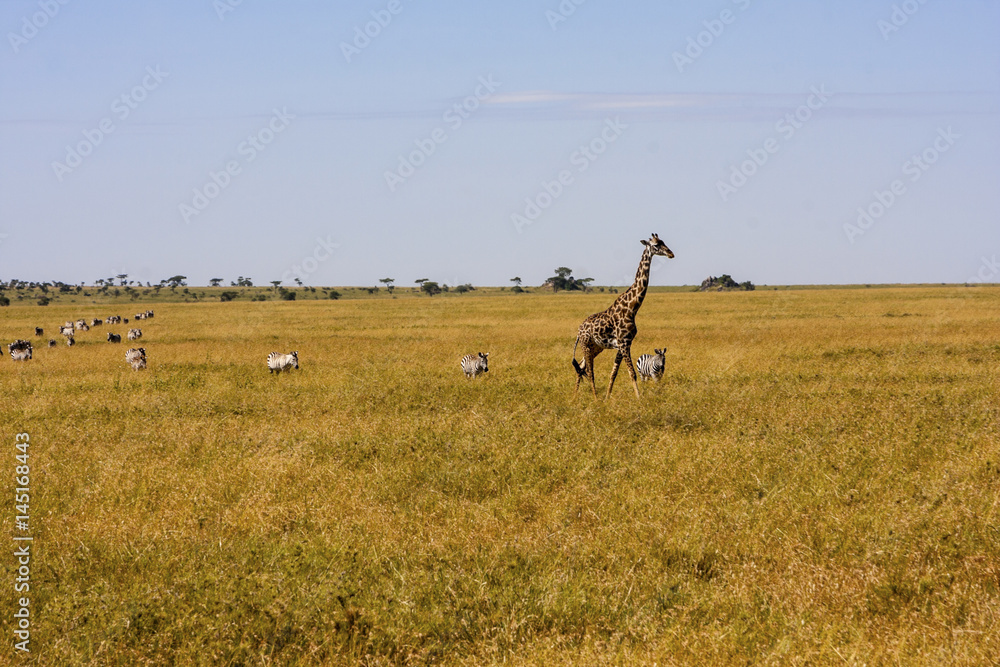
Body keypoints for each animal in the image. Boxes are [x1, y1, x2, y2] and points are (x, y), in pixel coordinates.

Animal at [572, 232, 672, 400]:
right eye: (656, 245)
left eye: (664, 242)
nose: (671, 254)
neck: (632, 308)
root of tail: (579, 330)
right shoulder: (624, 344)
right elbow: (632, 373)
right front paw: (639, 398)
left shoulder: (623, 344)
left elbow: (614, 373)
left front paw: (607, 398)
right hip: (585, 344)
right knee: (589, 371)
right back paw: (594, 398)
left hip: (596, 347)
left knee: (581, 366)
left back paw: (576, 395)